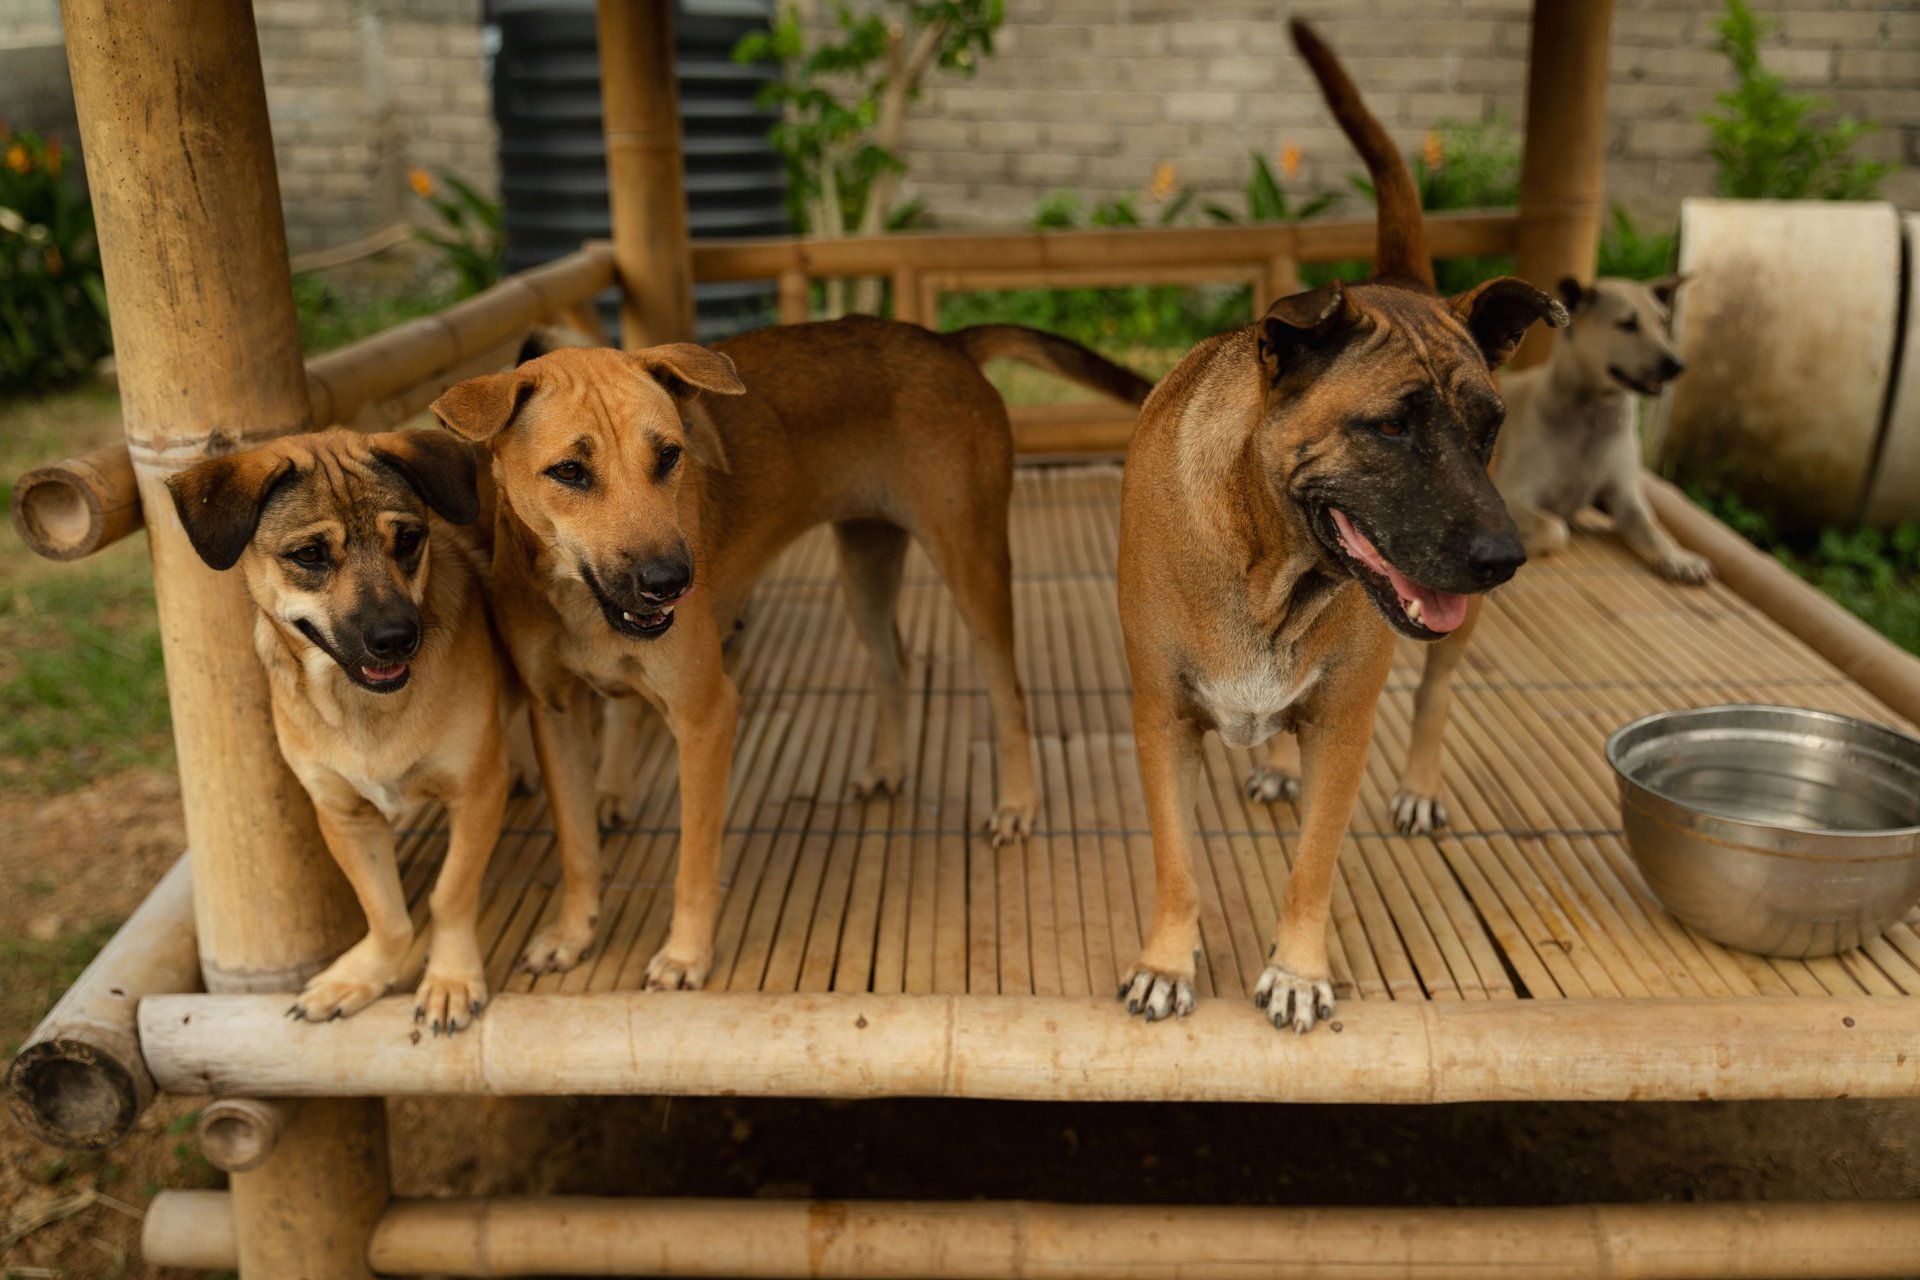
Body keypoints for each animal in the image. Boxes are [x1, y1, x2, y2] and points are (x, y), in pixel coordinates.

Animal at [167, 428, 515, 1034]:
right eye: (309, 555)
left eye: (409, 539)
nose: (397, 638)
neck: (360, 704)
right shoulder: (344, 814)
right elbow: (385, 912)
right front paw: (363, 976)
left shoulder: (476, 791)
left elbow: (449, 894)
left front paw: (449, 978)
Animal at [430, 318, 1150, 987]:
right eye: (569, 472)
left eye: (670, 456)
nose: (673, 581)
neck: (582, 602)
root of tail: (944, 340)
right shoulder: (555, 713)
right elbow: (577, 847)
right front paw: (572, 935)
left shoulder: (705, 715)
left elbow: (694, 861)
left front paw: (686, 955)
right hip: (865, 559)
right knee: (896, 661)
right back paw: (889, 766)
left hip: (970, 563)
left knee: (1009, 691)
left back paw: (1017, 805)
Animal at [1115, 20, 1566, 1032]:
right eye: (1391, 426)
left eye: (1489, 425)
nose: (1504, 559)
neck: (1270, 564)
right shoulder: (1163, 718)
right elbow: (1173, 860)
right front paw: (1166, 959)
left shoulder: (1344, 725)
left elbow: (1312, 865)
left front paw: (1297, 969)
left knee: (1436, 693)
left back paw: (1418, 787)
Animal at [1368, 273, 1708, 836]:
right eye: (1626, 324)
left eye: (1664, 323)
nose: (1675, 365)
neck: (1592, 417)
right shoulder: (1519, 497)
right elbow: (1556, 529)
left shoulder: (1628, 499)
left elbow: (1652, 530)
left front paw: (1680, 557)